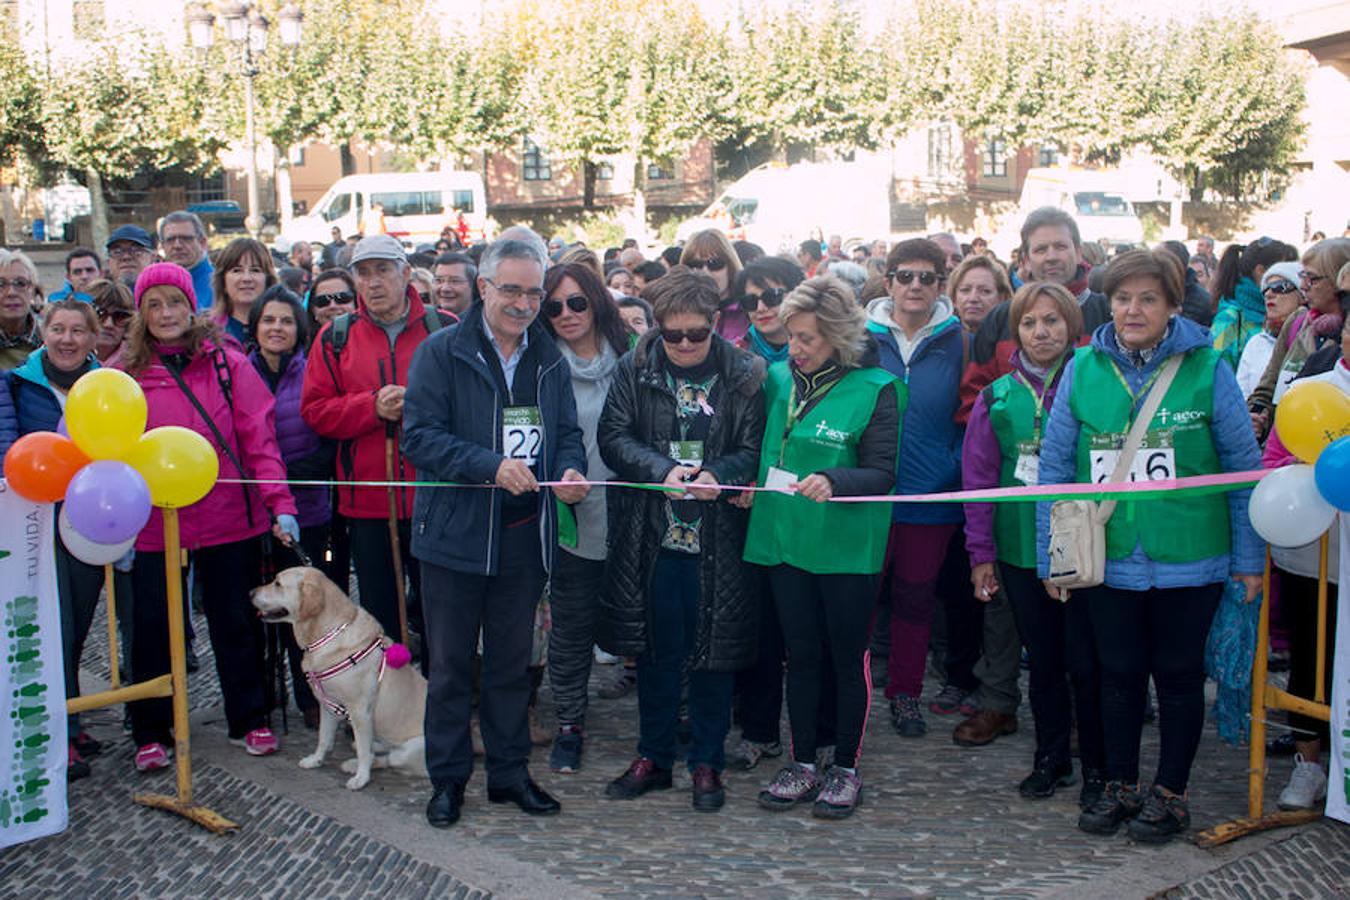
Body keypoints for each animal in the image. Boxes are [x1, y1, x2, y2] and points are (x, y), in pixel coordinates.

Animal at [251, 566, 423, 793]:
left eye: (277, 583)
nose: (250, 593)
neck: (328, 634)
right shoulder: (327, 706)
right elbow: (324, 738)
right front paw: (316, 760)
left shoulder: (360, 711)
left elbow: (363, 752)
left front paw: (361, 778)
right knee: (377, 750)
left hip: (409, 750)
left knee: (386, 758)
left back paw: (356, 765)